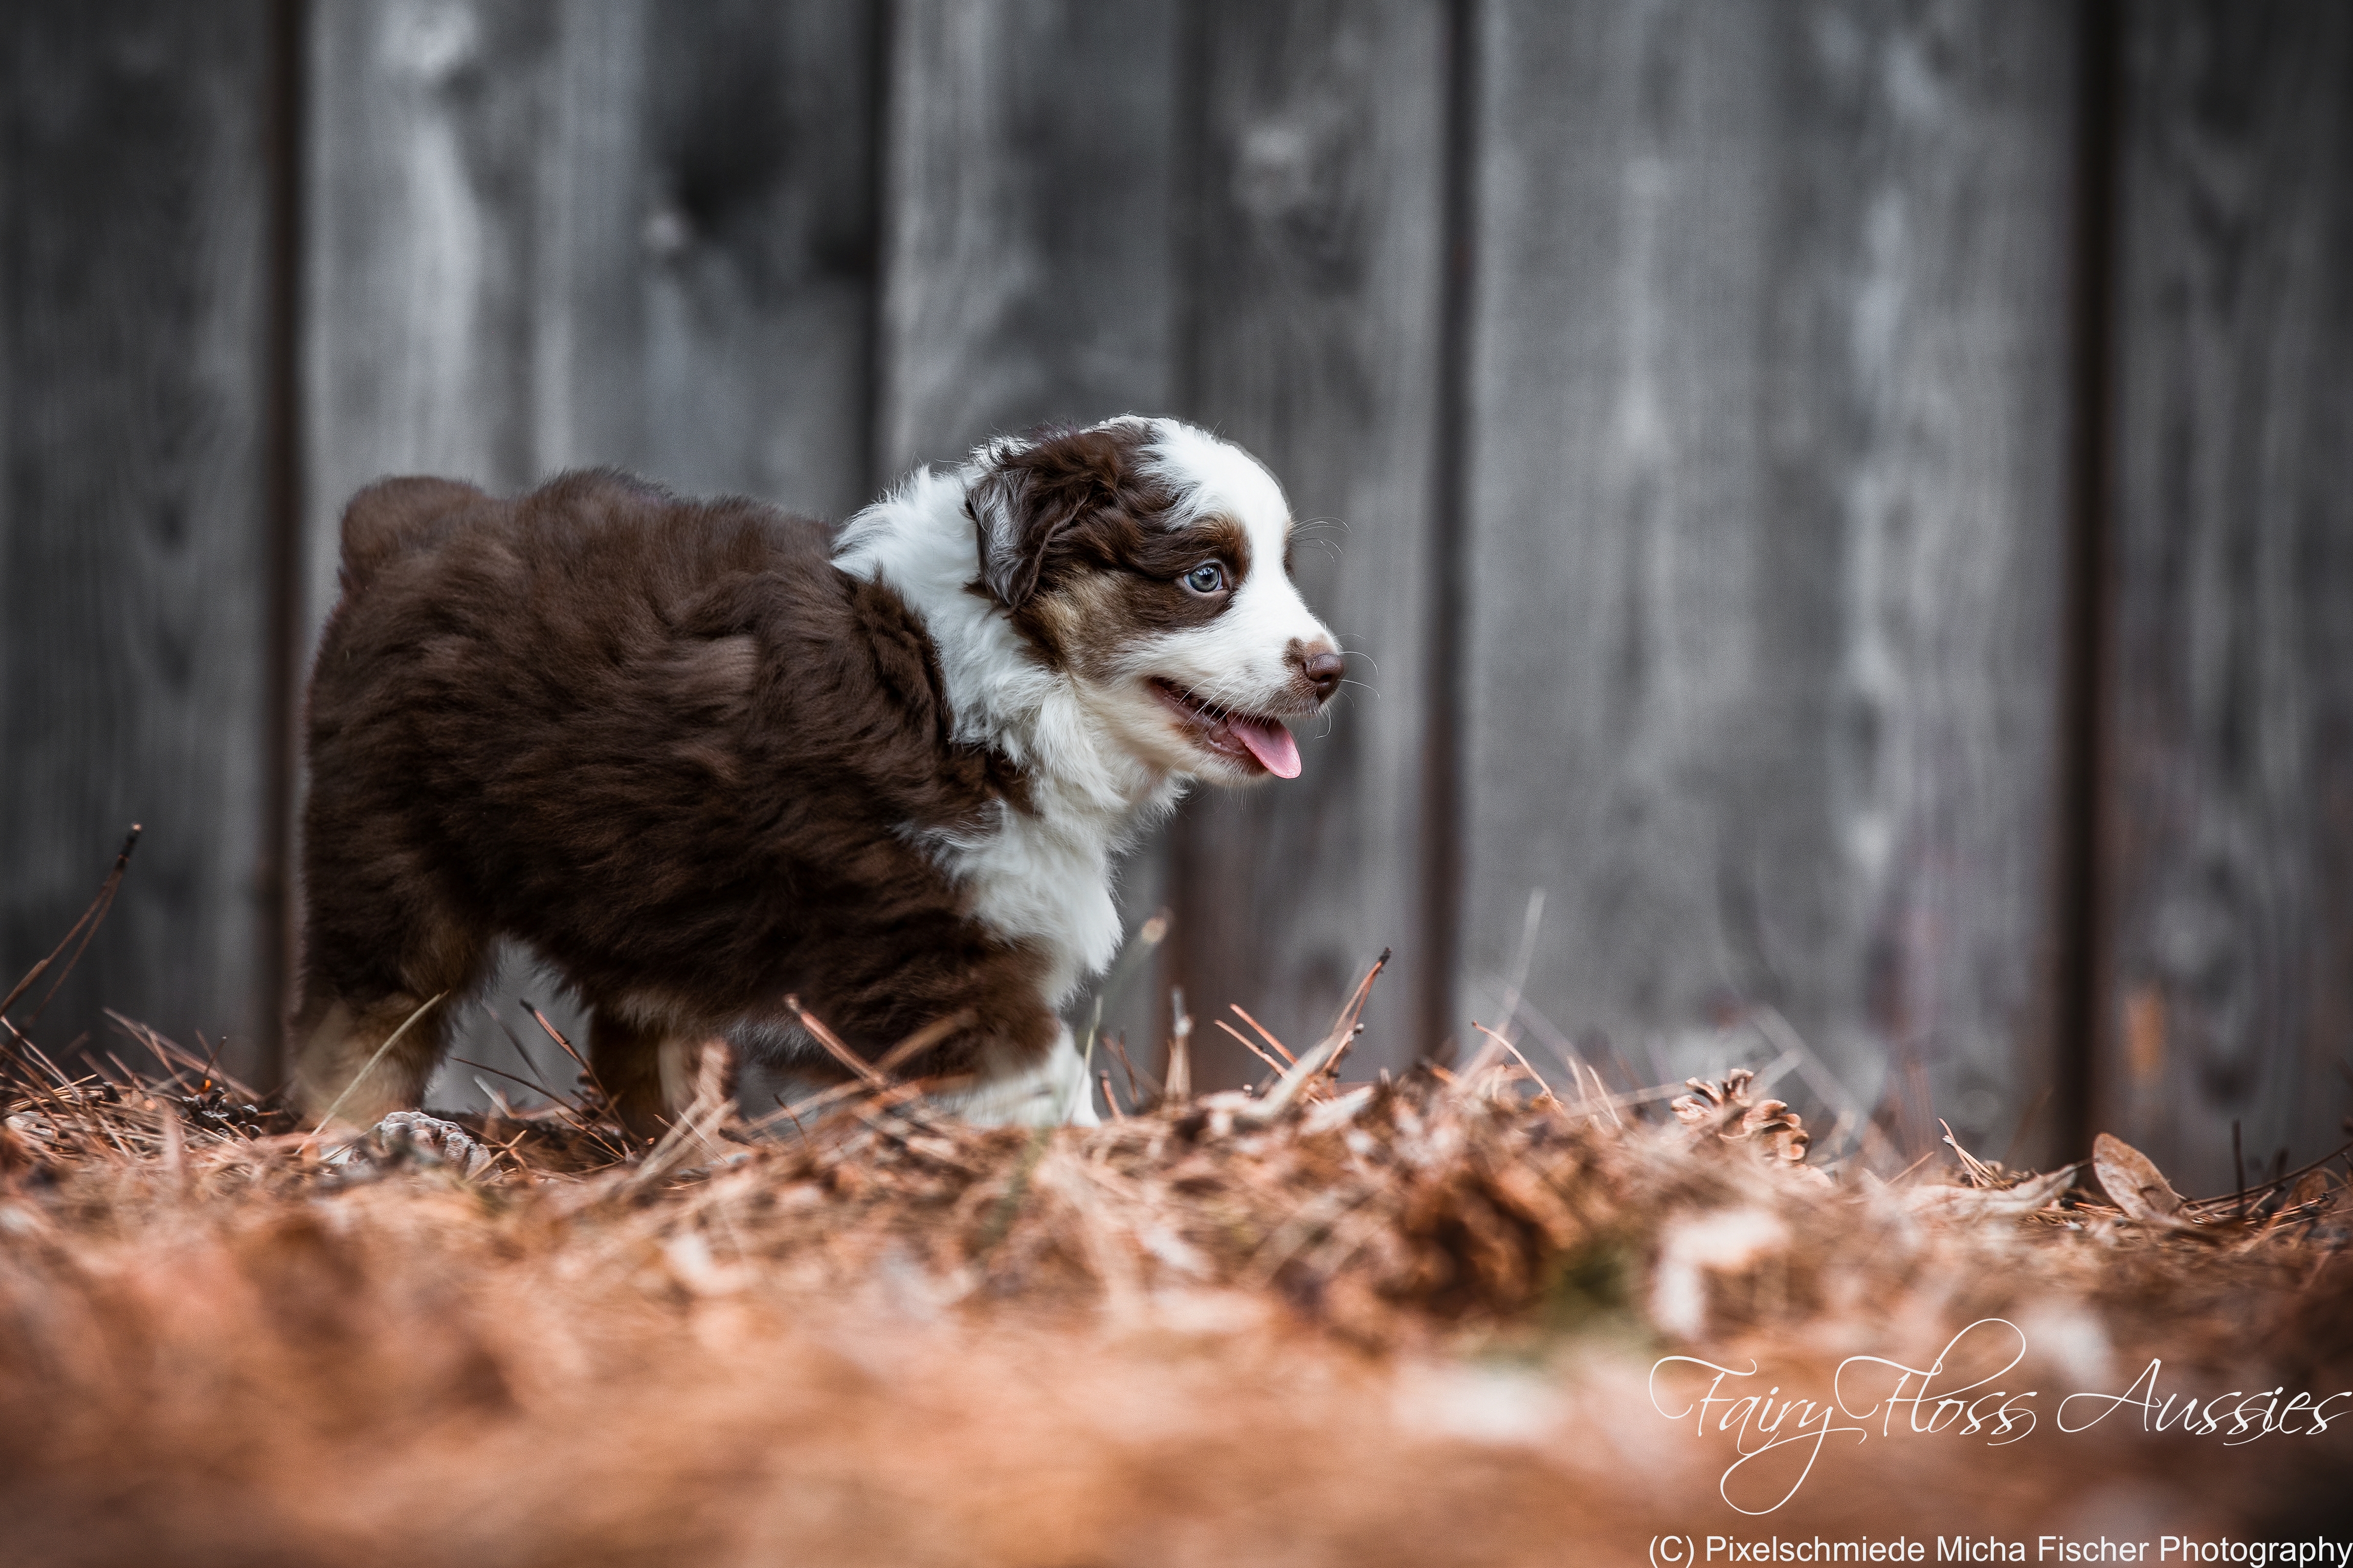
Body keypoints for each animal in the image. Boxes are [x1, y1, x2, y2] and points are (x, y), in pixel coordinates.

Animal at [289, 411, 1346, 1133]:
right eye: (1208, 578)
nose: (1330, 669)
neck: (985, 682)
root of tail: (402, 535)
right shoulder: (922, 950)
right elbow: (1046, 1082)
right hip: (391, 856)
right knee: (361, 1021)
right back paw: (342, 1142)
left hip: (652, 893)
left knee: (631, 1039)